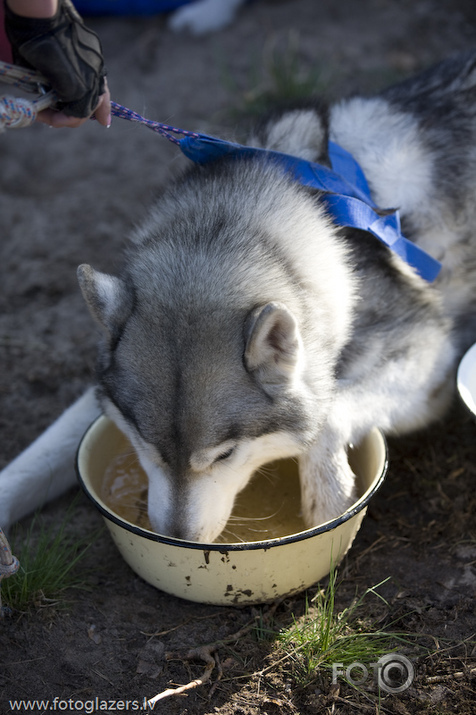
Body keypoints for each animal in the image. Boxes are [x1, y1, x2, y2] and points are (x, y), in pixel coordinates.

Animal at [0, 53, 476, 540]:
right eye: (145, 443)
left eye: (225, 455)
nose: (176, 540)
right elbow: (34, 458)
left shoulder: (430, 357)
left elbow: (328, 414)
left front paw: (328, 495)